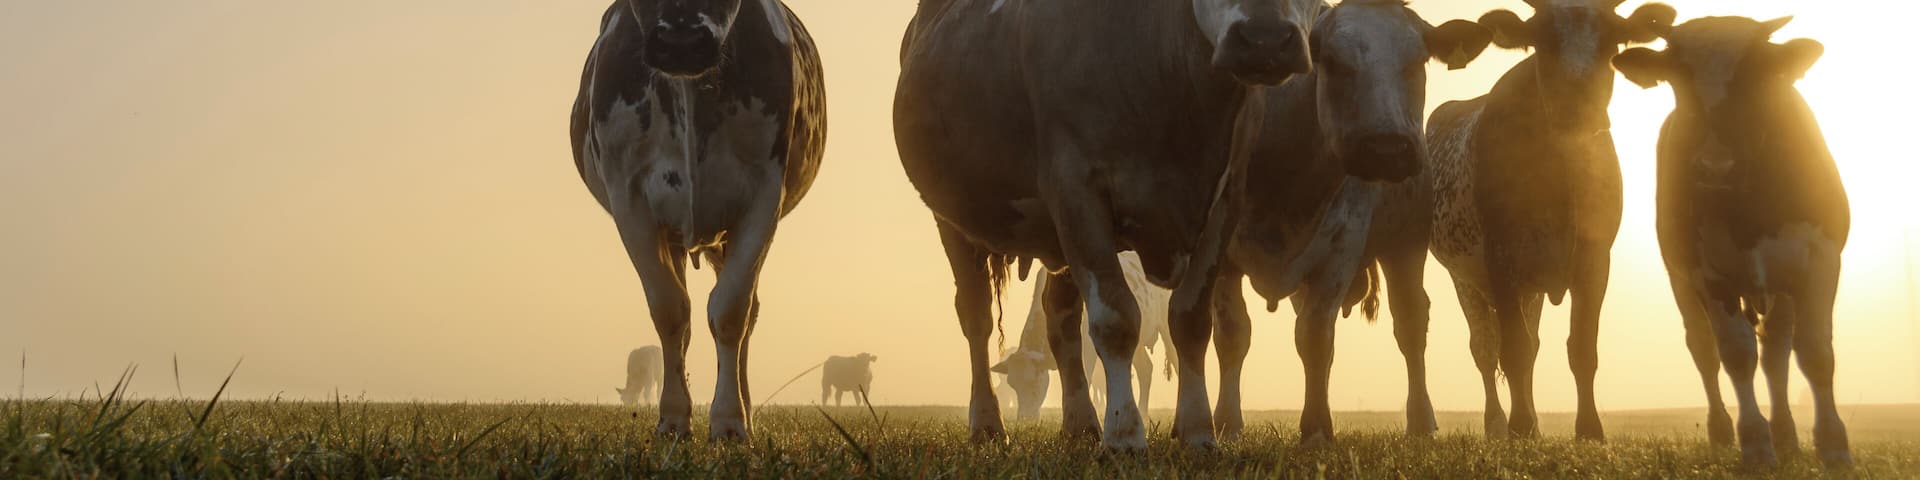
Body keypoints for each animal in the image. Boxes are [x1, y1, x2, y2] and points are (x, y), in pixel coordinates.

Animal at [569, 0, 826, 442]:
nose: (682, 42)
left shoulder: (764, 195)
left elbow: (731, 310)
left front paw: (729, 421)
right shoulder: (629, 200)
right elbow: (670, 310)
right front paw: (673, 418)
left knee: (747, 314)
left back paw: (746, 410)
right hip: (673, 235)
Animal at [991, 251, 1176, 421]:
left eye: (1034, 382)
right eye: (1012, 384)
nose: (1025, 418)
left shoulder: (1087, 348)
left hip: (1166, 327)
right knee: (1145, 369)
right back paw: (1142, 414)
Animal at [1207, 0, 1491, 445]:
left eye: (1418, 62)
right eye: (1336, 63)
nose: (1388, 149)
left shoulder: (1343, 245)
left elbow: (1315, 336)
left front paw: (1316, 428)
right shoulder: (1220, 248)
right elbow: (1233, 333)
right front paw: (1227, 423)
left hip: (1405, 243)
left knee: (1410, 322)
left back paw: (1420, 421)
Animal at [1414, 0, 1673, 441]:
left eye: (1611, 41)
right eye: (1543, 41)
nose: (1577, 109)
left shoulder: (1595, 258)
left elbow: (1580, 346)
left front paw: (1589, 429)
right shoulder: (1500, 259)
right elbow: (1513, 350)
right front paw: (1517, 425)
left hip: (1529, 286)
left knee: (1531, 344)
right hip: (1466, 279)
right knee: (1486, 349)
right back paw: (1498, 424)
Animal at [1613, 16, 1851, 467]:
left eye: (1754, 72)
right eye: (1679, 77)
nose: (1714, 167)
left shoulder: (1821, 257)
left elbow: (1815, 351)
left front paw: (1833, 445)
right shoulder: (1708, 271)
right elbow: (1737, 354)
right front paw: (1755, 444)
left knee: (1776, 351)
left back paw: (1786, 433)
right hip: (1682, 279)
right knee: (1704, 349)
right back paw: (1723, 430)